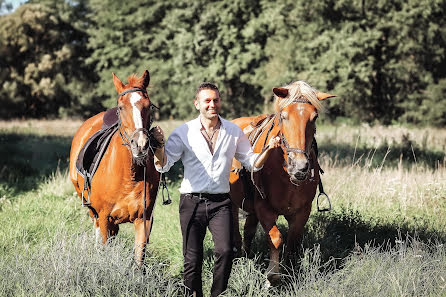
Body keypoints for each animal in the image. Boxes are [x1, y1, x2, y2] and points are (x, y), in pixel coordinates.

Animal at [69, 70, 159, 264]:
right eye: (121, 107)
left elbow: (139, 259)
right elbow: (104, 247)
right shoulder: (104, 218)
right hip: (92, 209)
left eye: (149, 106)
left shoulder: (144, 220)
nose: (140, 145)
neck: (129, 176)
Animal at [230, 80, 334, 282]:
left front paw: (289, 272)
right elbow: (276, 239)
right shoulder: (264, 208)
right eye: (284, 116)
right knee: (236, 234)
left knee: (248, 230)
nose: (300, 166)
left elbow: (292, 242)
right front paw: (273, 276)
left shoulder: (302, 211)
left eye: (315, 117)